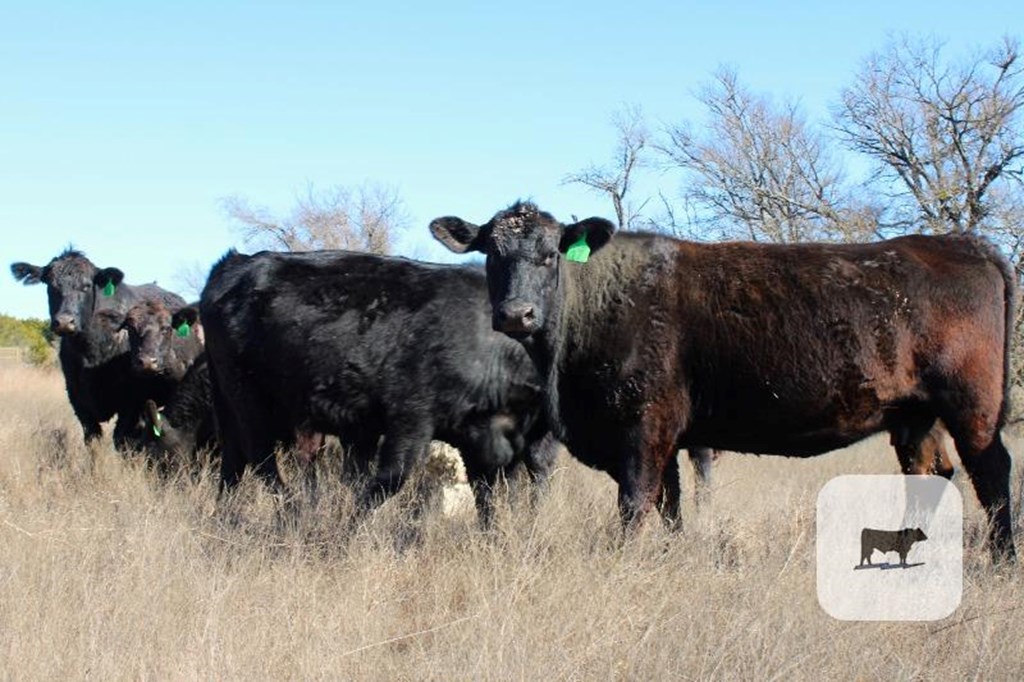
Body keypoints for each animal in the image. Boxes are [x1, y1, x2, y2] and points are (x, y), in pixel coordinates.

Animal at [11, 246, 187, 448]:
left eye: (87, 286)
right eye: (50, 285)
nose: (64, 322)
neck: (92, 352)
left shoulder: (131, 402)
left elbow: (122, 439)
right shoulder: (78, 400)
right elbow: (92, 441)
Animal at [432, 197, 1015, 557]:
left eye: (550, 255)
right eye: (491, 253)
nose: (517, 314)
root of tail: (960, 243)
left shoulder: (644, 428)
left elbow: (634, 504)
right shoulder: (668, 439)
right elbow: (669, 507)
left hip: (973, 405)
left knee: (992, 472)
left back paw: (1003, 558)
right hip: (915, 416)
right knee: (930, 474)